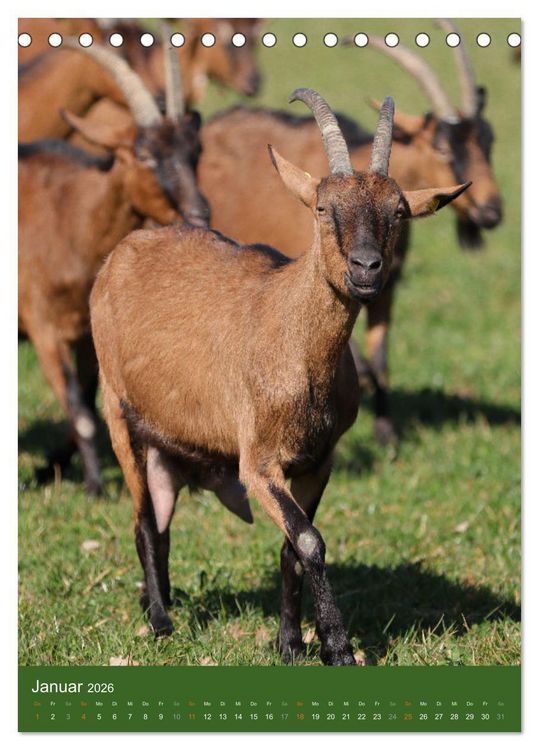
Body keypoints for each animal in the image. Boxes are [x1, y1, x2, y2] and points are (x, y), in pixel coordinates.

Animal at [19, 42, 209, 495]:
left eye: (196, 152)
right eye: (144, 155)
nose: (200, 214)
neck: (67, 220)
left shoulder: (89, 336)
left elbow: (90, 406)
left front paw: (52, 469)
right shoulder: (43, 329)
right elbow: (80, 411)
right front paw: (93, 487)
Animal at [90, 89, 469, 664]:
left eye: (398, 210)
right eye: (322, 207)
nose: (366, 269)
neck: (294, 341)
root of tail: (119, 255)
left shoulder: (317, 460)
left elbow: (294, 547)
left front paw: (290, 643)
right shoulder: (259, 463)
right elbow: (311, 540)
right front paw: (338, 648)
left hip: (164, 443)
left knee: (160, 516)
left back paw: (159, 603)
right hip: (117, 413)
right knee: (143, 522)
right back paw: (160, 621)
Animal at [198, 22, 502, 446]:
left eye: (489, 140)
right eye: (442, 146)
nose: (491, 212)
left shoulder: (387, 288)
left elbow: (381, 360)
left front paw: (387, 434)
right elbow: (361, 363)